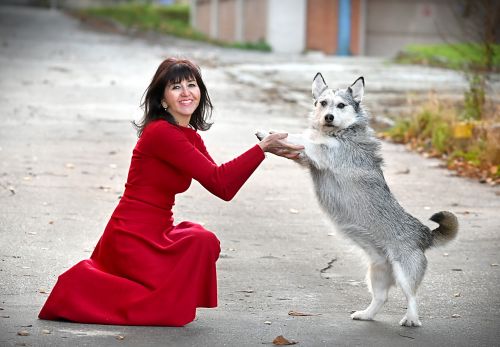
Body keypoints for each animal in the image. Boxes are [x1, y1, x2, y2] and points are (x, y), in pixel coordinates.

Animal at [258, 73, 458, 328]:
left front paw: (269, 135)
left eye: (341, 105)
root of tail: (424, 233)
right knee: (381, 298)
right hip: (377, 273)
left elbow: (302, 138)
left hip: (404, 273)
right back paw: (366, 314)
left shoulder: (321, 152)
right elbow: (300, 143)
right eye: (323, 103)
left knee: (412, 297)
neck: (339, 133)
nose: (329, 117)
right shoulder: (309, 159)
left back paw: (411, 319)